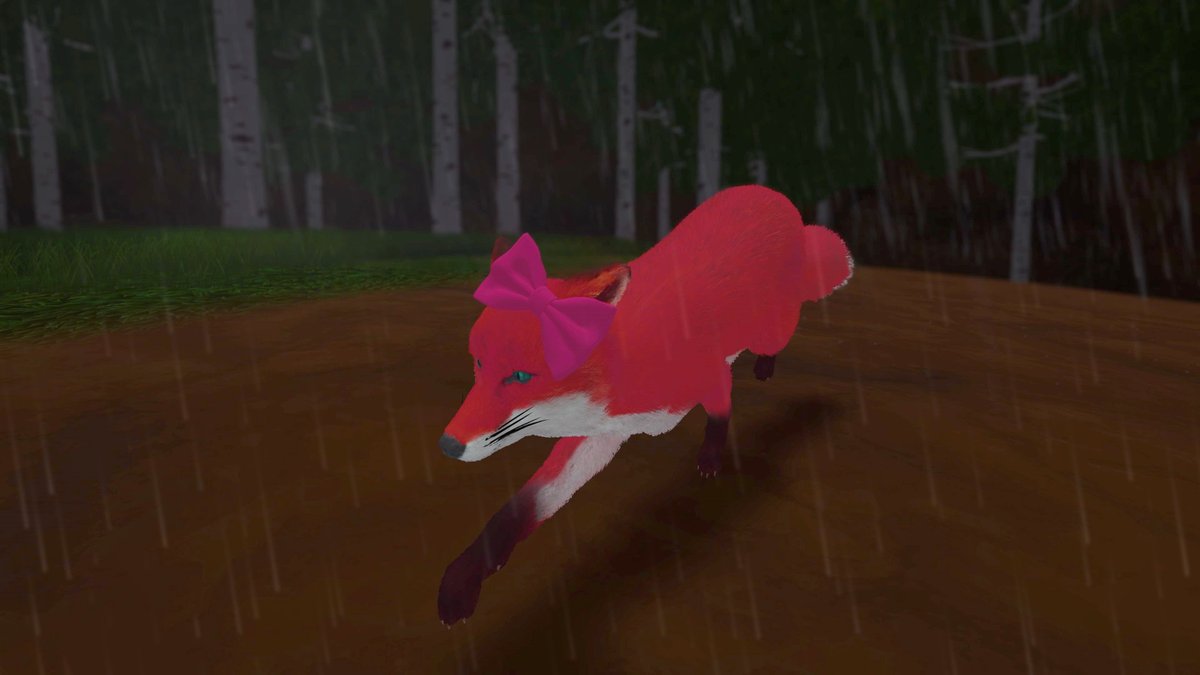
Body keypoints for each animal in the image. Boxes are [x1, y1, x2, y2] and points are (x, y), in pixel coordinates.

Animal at [436, 184, 853, 625]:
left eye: (519, 376)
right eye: (479, 363)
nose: (447, 445)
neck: (623, 365)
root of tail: (769, 194)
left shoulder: (708, 374)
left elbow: (720, 413)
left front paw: (710, 458)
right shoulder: (599, 431)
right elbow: (519, 509)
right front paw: (461, 583)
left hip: (771, 326)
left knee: (775, 338)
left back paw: (765, 366)